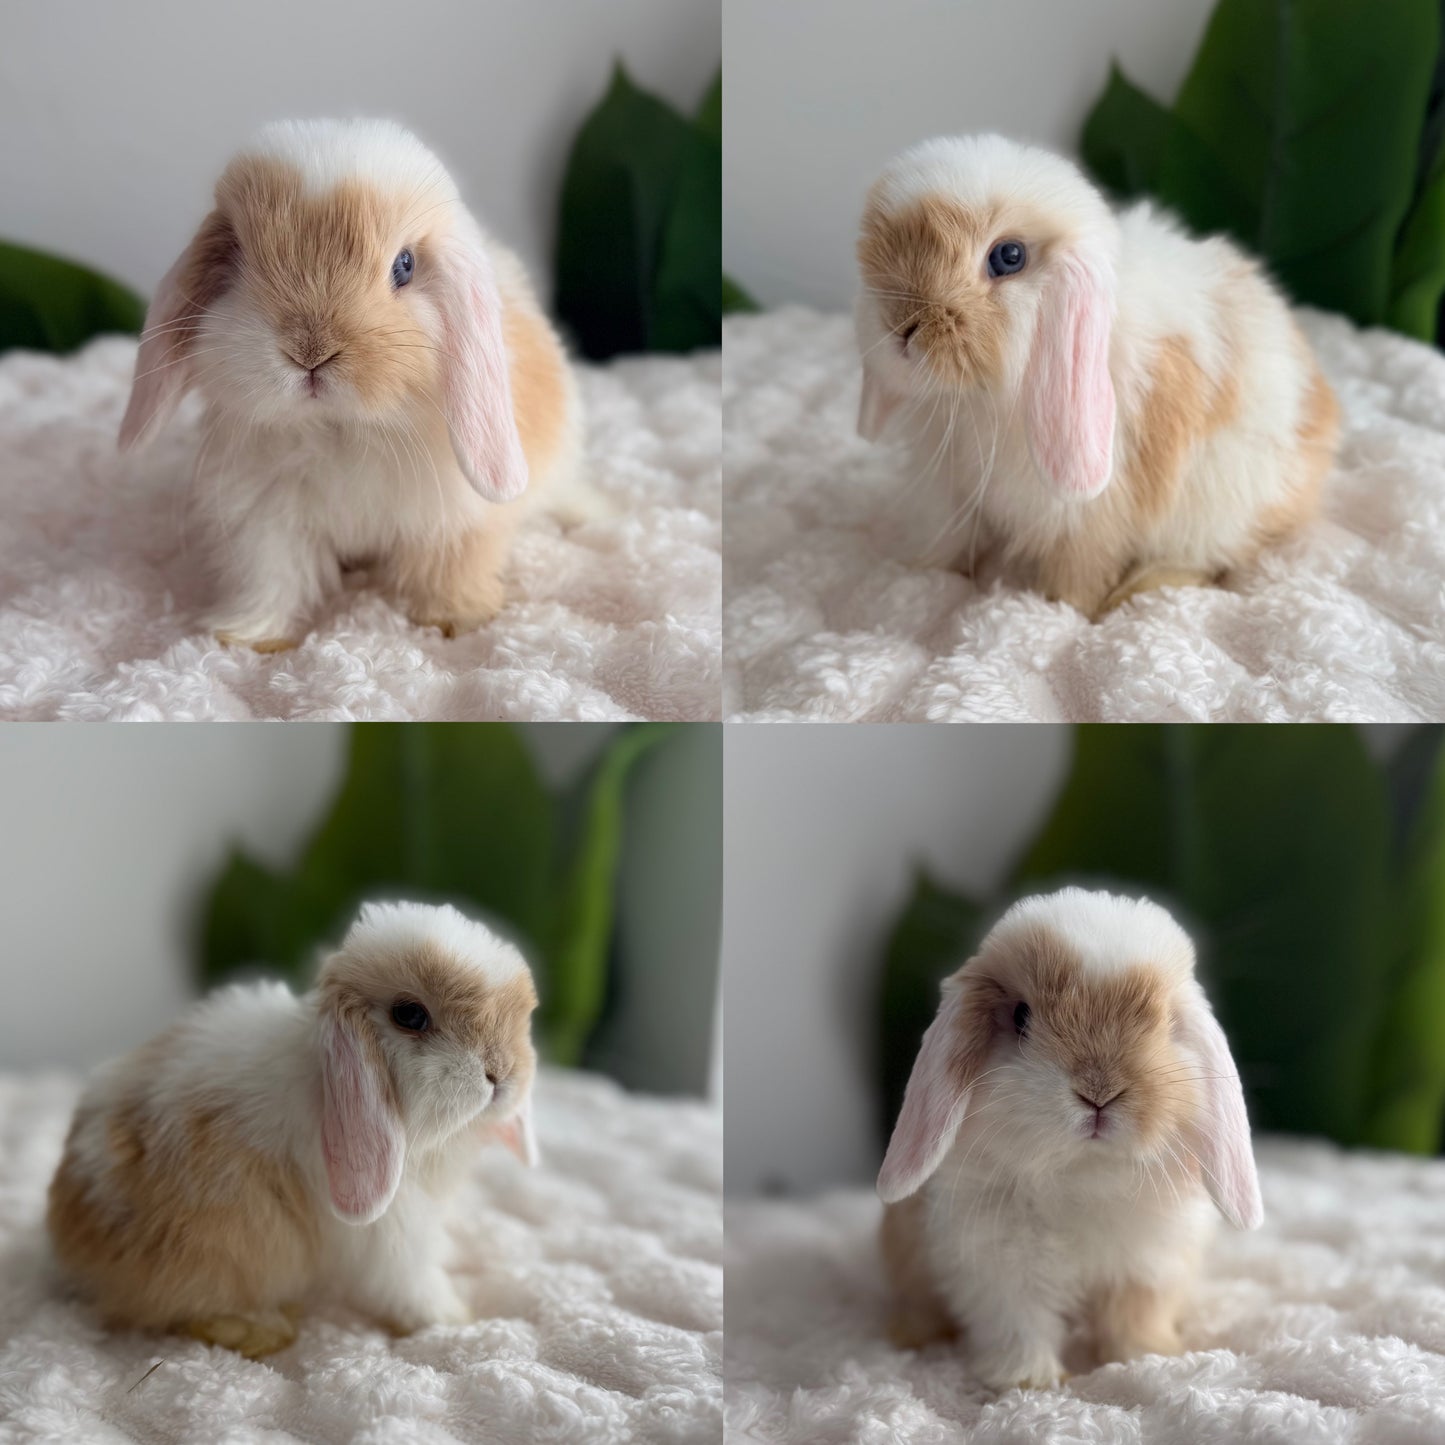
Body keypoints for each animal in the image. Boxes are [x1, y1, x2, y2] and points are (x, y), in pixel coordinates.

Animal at [46, 900, 539, 1359]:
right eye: (410, 1015)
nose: (501, 1072)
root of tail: (67, 1244)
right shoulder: (389, 1233)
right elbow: (410, 1285)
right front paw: (454, 1319)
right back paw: (261, 1329)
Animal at [118, 118, 584, 650]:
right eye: (236, 252)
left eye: (405, 265)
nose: (310, 351)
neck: (340, 427)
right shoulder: (266, 525)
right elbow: (273, 580)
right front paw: (248, 637)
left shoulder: (455, 519)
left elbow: (451, 569)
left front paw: (455, 622)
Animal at [855, 134, 1339, 618]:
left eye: (1008, 257)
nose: (900, 327)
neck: (984, 398)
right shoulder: (951, 487)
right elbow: (948, 542)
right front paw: (921, 574)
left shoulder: (1090, 515)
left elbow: (1080, 572)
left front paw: (1059, 610)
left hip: (1220, 505)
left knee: (1210, 560)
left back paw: (1136, 589)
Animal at [877, 887, 1262, 1391]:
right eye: (1021, 1016)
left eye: (1164, 1024)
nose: (1099, 1091)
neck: (1082, 1170)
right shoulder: (1000, 1268)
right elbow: (1021, 1325)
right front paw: (1031, 1381)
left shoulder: (1146, 1265)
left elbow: (1133, 1318)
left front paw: (1148, 1359)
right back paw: (910, 1336)